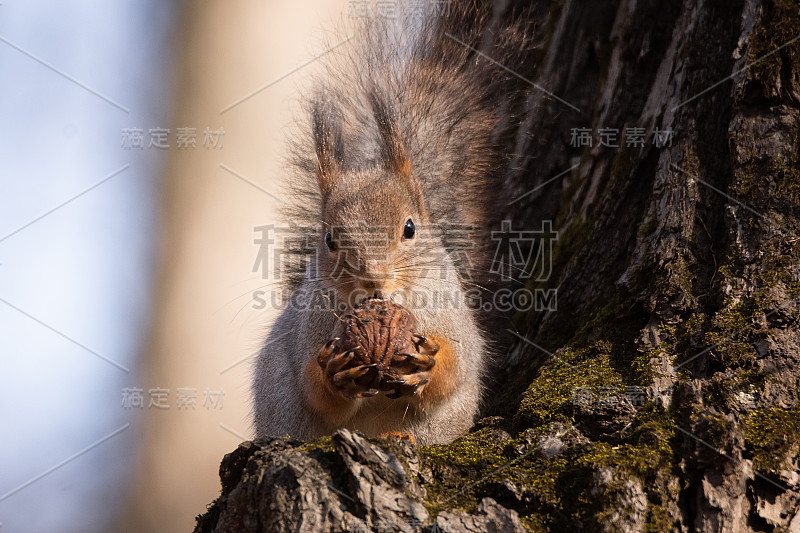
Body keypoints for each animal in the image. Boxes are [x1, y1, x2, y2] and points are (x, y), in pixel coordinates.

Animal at [253, 1, 536, 444]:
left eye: (410, 229)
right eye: (329, 239)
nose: (374, 279)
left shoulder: (451, 313)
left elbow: (457, 364)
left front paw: (428, 365)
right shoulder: (311, 328)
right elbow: (315, 389)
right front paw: (334, 375)